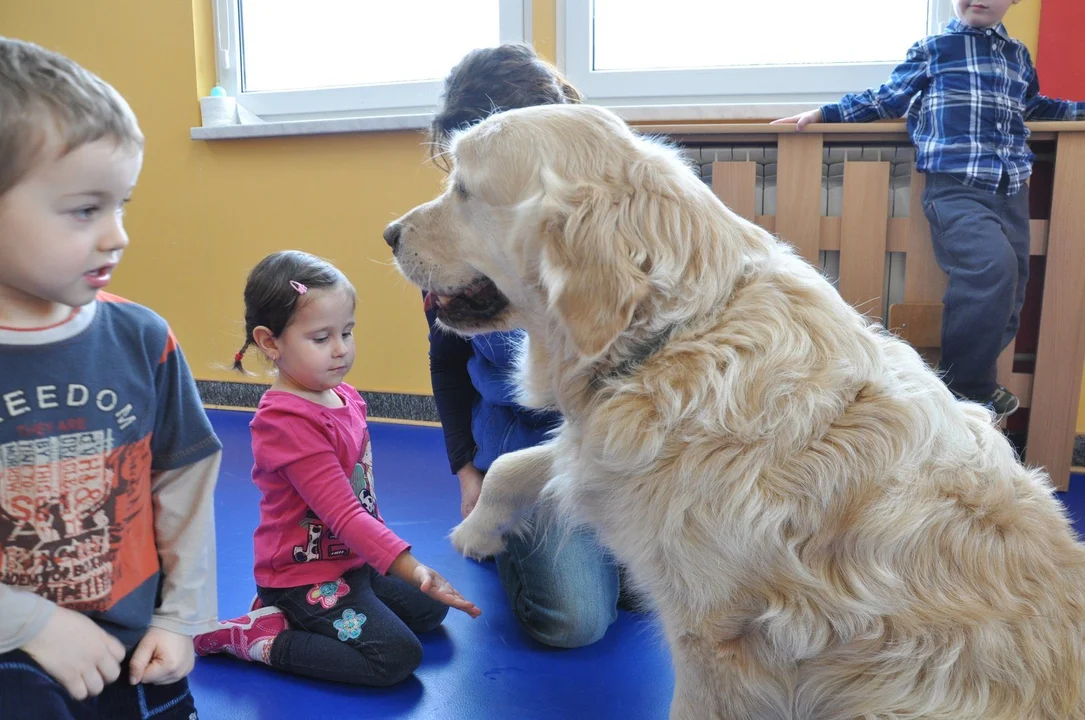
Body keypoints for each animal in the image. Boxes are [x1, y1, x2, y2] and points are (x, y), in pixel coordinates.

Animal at [384, 102, 1085, 720]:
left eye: (464, 189)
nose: (389, 234)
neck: (681, 329)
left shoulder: (716, 642)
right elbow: (516, 463)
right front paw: (478, 529)